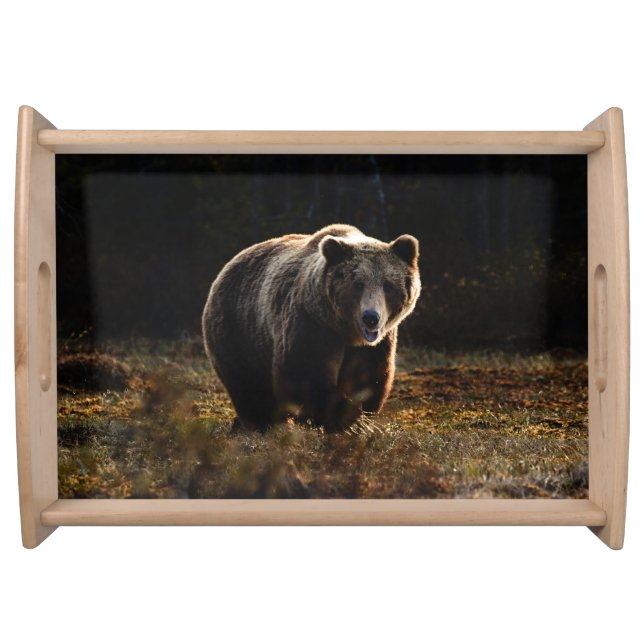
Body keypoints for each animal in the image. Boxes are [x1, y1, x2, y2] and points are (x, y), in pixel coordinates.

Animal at [202, 224, 421, 433]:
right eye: (358, 284)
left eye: (388, 285)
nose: (371, 318)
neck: (345, 331)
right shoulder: (311, 323)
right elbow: (304, 374)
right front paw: (351, 421)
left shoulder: (375, 344)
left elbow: (367, 377)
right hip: (239, 331)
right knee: (250, 387)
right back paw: (261, 424)